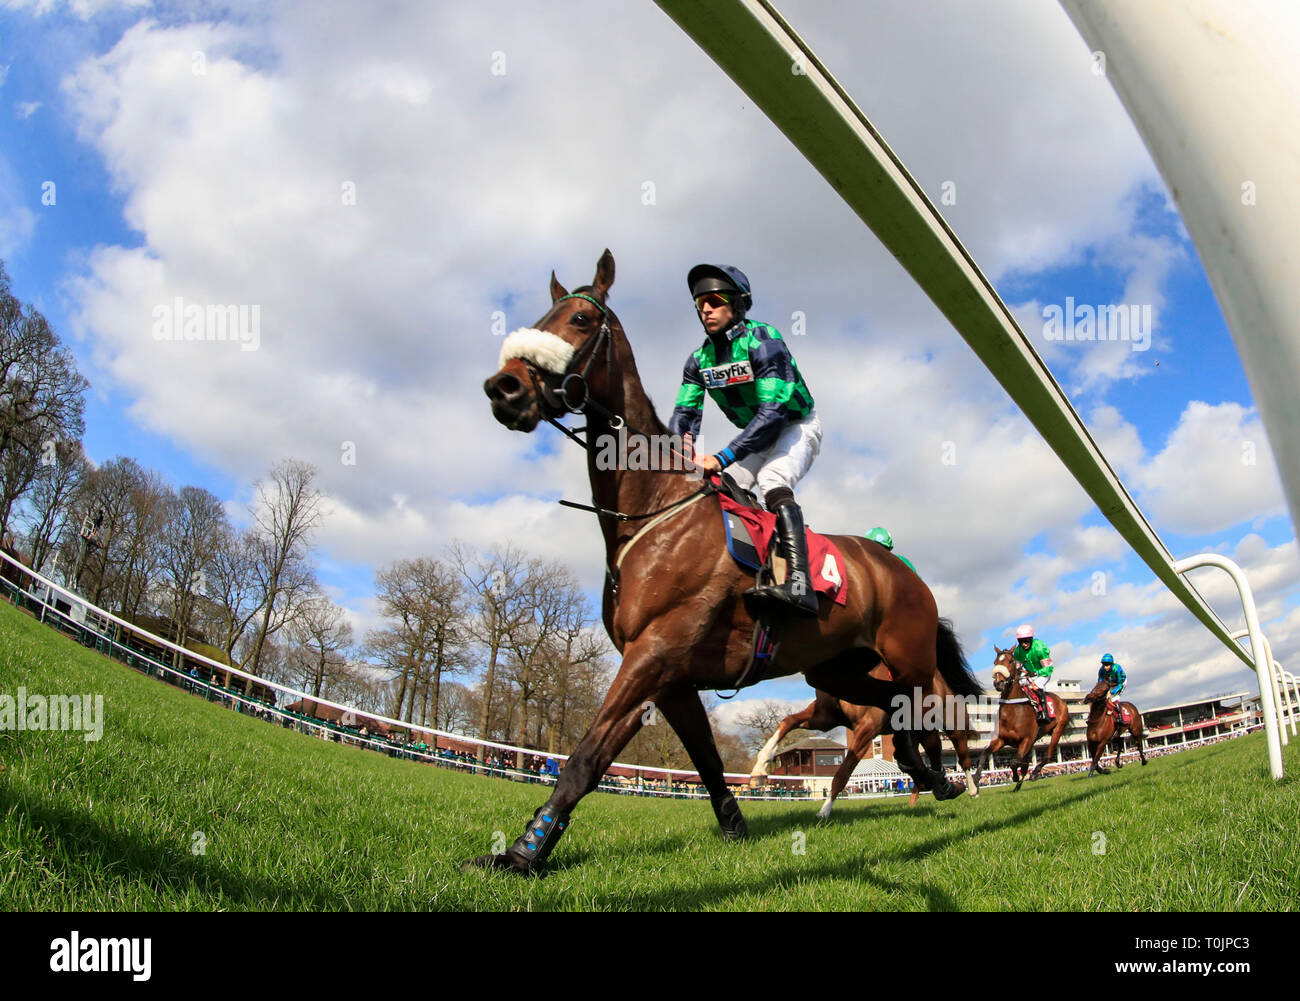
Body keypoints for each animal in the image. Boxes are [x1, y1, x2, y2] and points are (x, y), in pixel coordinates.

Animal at [754, 663, 977, 811]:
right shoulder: (824, 717)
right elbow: (787, 721)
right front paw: (760, 767)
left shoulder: (867, 727)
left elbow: (843, 773)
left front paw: (824, 811)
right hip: (915, 730)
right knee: (917, 757)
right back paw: (930, 791)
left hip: (947, 719)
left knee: (958, 750)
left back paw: (970, 789)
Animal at [972, 644, 1071, 790]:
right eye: (995, 663)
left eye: (1010, 661)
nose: (999, 683)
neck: (1013, 711)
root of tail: (1061, 700)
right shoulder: (1002, 739)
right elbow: (984, 753)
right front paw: (976, 779)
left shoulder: (1026, 739)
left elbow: (1014, 761)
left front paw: (1015, 777)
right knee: (1025, 764)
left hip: (1058, 729)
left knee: (1047, 755)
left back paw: (1034, 773)